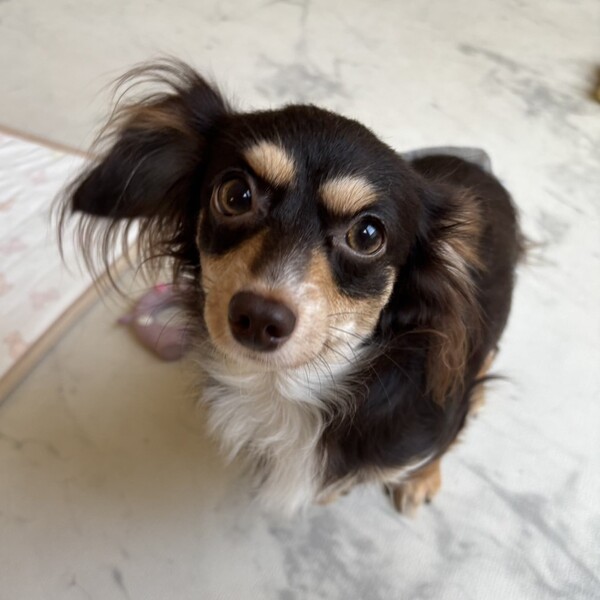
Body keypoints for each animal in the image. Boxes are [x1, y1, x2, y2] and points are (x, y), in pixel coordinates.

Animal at [62, 60, 521, 515]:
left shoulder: (435, 425)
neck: (286, 385)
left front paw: (422, 477)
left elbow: (440, 444)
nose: (258, 317)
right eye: (236, 195)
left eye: (368, 235)